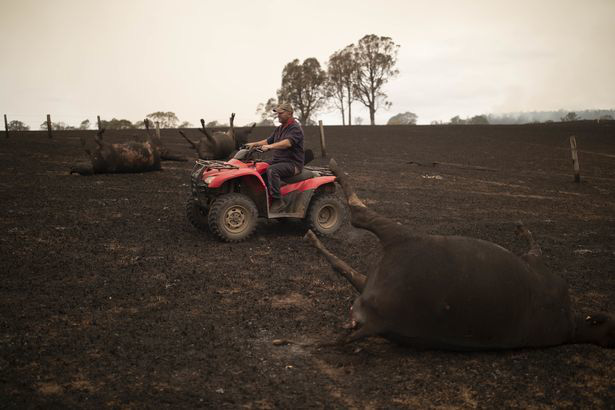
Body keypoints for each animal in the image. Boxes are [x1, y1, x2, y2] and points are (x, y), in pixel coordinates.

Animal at [306, 159, 615, 350]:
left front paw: (521, 228)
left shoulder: (538, 264)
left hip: (400, 239)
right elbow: (532, 242)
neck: (572, 325)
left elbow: (533, 244)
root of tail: (375, 322)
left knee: (357, 216)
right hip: (381, 267)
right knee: (346, 257)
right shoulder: (536, 265)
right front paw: (520, 227)